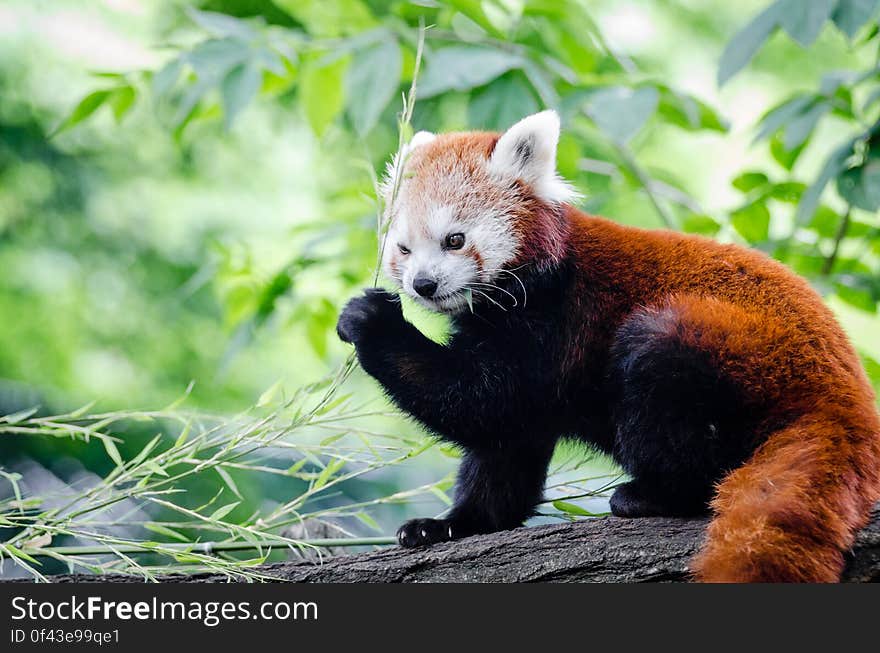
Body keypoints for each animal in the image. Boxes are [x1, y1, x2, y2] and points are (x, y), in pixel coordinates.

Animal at [336, 111, 880, 580]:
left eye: (454, 239)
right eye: (404, 248)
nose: (423, 285)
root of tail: (845, 397)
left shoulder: (558, 318)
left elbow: (488, 400)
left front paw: (372, 322)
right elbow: (505, 442)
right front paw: (455, 525)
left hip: (732, 352)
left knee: (657, 363)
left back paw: (655, 495)